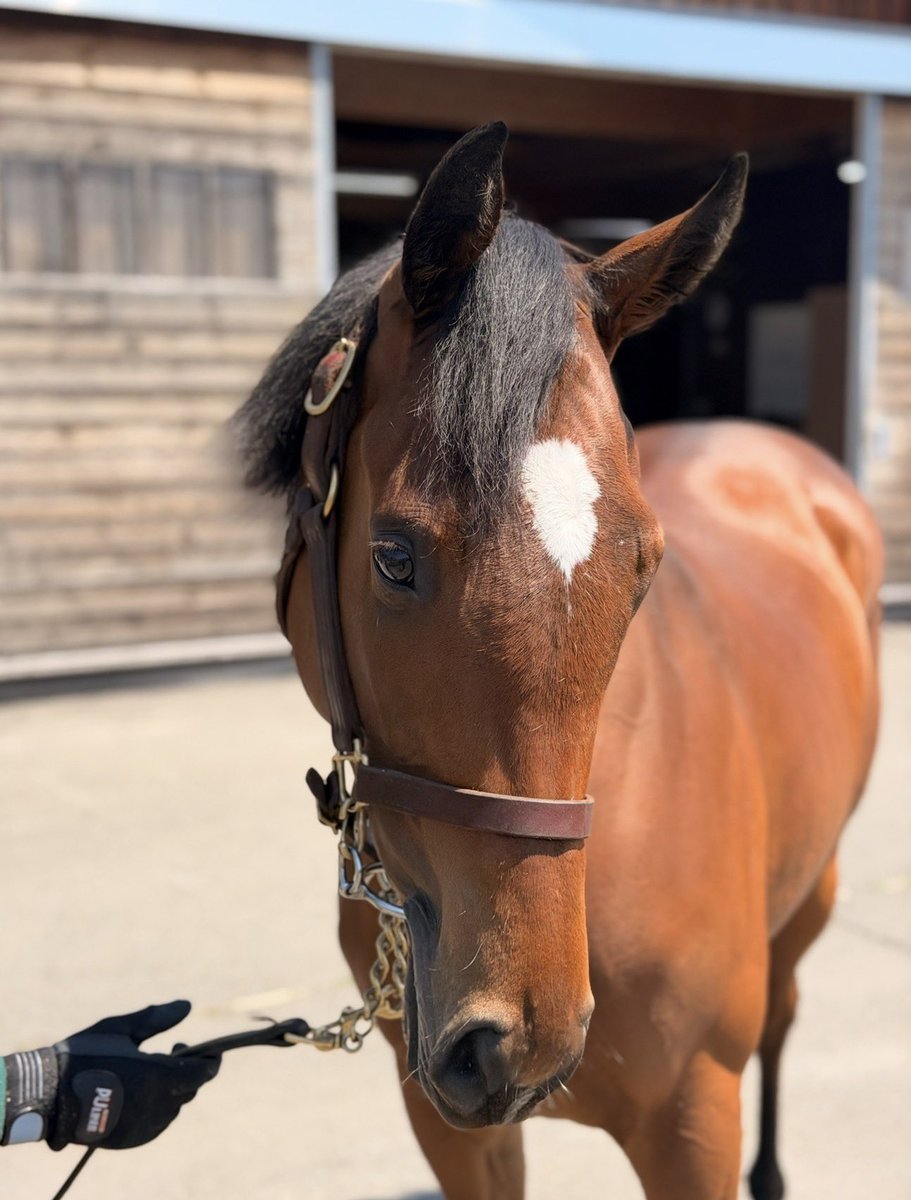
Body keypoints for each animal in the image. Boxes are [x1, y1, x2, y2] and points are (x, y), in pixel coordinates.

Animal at [234, 123, 882, 1200]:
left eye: (642, 565)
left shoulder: (692, 1122)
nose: (518, 1039)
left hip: (810, 895)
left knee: (786, 1013)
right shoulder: (451, 1125)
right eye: (393, 556)